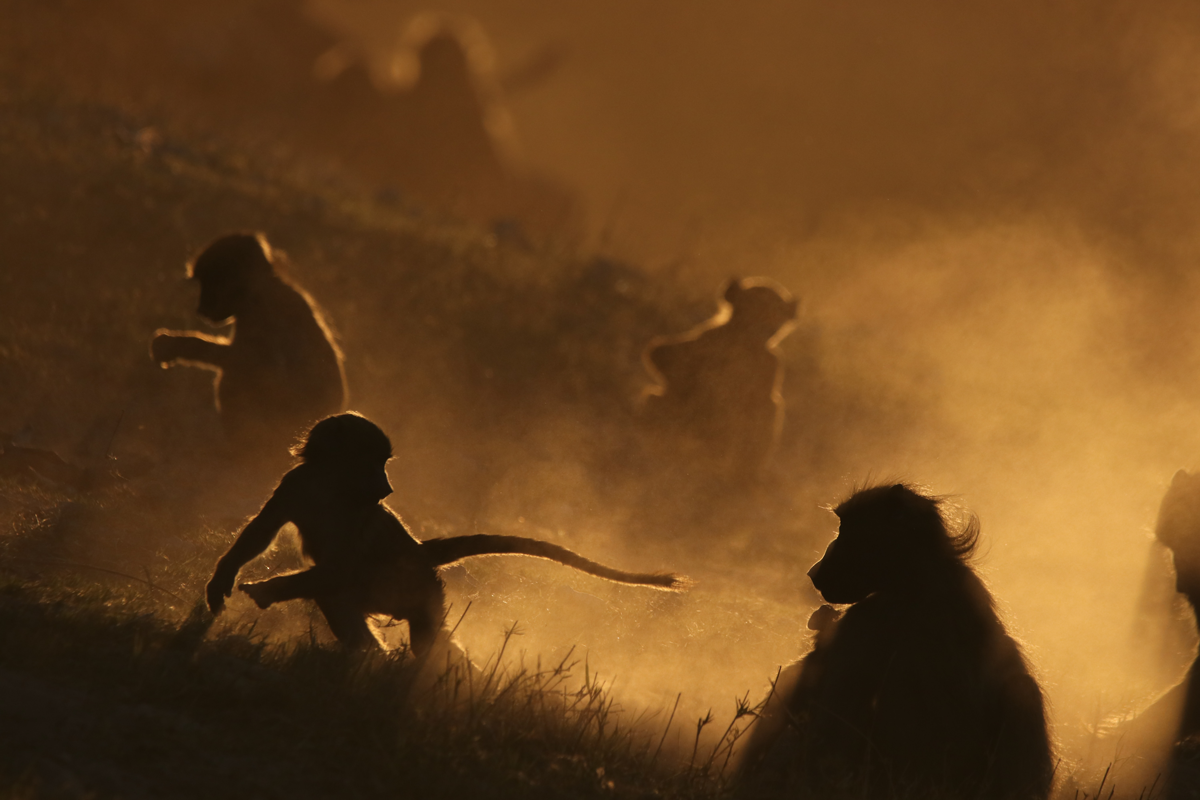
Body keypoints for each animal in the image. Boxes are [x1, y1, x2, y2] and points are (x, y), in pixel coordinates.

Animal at [151, 235, 348, 453]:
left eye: (209, 283)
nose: (200, 309)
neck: (257, 289)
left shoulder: (260, 311)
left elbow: (254, 364)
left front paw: (174, 345)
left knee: (236, 376)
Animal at [208, 412, 686, 657]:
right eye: (373, 461)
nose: (387, 487)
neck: (334, 485)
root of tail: (420, 552)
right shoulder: (297, 483)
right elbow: (261, 533)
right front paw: (222, 579)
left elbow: (341, 564)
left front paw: (265, 592)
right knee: (344, 599)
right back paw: (368, 658)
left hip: (410, 586)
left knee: (420, 633)